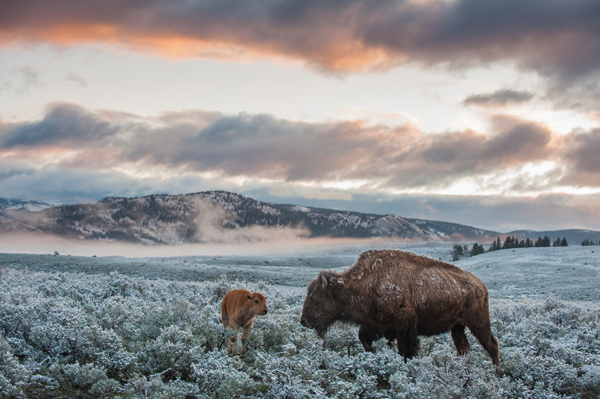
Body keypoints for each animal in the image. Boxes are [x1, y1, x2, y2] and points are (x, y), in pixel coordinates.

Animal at [300, 250, 502, 366]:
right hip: (457, 327)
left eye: (315, 297)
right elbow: (364, 338)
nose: (304, 321)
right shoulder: (376, 324)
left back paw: (496, 372)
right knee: (463, 346)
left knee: (491, 344)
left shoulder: (404, 326)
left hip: (478, 322)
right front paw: (374, 354)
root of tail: (481, 286)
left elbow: (406, 350)